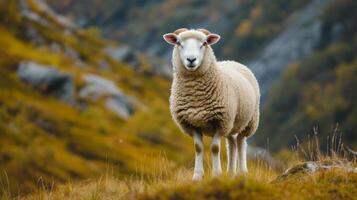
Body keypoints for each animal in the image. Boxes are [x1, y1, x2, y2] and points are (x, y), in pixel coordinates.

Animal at [163, 27, 260, 180]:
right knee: (232, 144)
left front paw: (216, 175)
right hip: (231, 124)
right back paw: (231, 173)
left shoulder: (220, 122)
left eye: (204, 43)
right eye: (179, 43)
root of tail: (231, 61)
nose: (191, 59)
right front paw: (197, 176)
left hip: (247, 122)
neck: (196, 96)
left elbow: (215, 148)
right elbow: (198, 148)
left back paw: (242, 172)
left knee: (241, 142)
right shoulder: (192, 124)